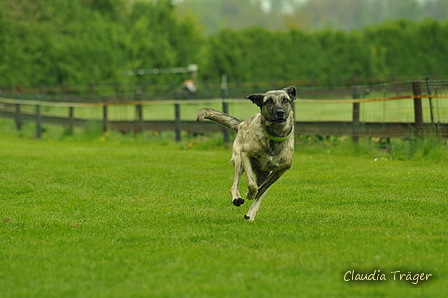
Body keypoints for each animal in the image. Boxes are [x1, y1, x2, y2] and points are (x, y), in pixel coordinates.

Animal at [195, 86, 294, 221]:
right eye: (269, 101)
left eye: (285, 100)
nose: (280, 112)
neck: (273, 136)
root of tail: (242, 123)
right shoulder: (245, 154)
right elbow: (252, 184)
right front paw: (249, 193)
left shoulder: (281, 169)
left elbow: (262, 189)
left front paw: (254, 196)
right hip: (239, 161)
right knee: (234, 185)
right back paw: (237, 198)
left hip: (266, 173)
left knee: (261, 190)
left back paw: (250, 214)